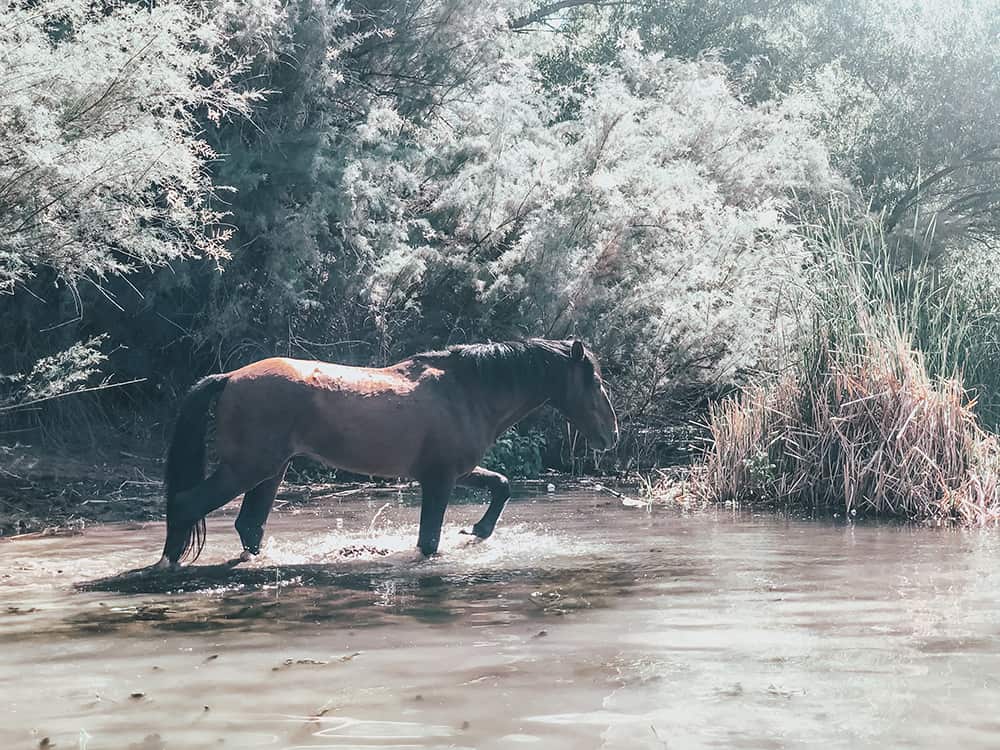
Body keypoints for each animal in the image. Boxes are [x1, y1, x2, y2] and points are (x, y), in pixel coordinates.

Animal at [154, 338, 616, 568]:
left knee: (250, 526)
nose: (610, 435)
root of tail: (229, 376)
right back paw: (168, 565)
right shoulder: (439, 478)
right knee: (187, 504)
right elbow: (429, 541)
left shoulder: (456, 470)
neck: (465, 391)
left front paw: (477, 531)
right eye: (594, 382)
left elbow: (502, 484)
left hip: (271, 471)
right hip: (247, 469)